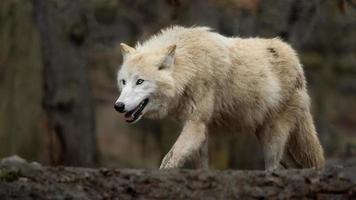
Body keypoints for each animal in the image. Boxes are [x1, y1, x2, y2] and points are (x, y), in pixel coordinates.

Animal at [114, 25, 326, 170]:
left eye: (140, 81)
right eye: (124, 82)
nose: (118, 106)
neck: (190, 66)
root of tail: (297, 63)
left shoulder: (196, 125)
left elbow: (169, 159)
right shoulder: (198, 129)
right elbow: (200, 166)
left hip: (273, 137)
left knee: (273, 168)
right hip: (270, 137)